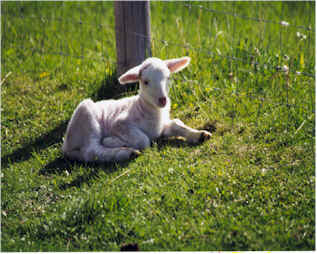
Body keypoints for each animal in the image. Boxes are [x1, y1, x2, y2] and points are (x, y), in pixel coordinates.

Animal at [61, 56, 210, 162]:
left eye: (168, 77)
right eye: (145, 82)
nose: (163, 100)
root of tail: (66, 145)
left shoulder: (162, 127)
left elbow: (177, 125)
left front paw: (200, 134)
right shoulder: (120, 124)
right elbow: (144, 140)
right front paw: (112, 141)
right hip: (86, 118)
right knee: (91, 151)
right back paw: (127, 152)